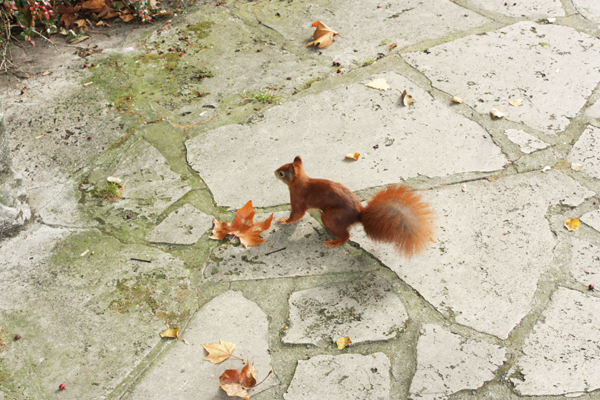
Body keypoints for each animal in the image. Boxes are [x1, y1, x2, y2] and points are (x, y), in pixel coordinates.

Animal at [274, 156, 434, 256]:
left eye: (282, 173)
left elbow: (296, 214)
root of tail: (358, 213)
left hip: (331, 216)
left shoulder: (298, 198)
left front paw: (284, 221)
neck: (300, 182)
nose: (274, 172)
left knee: (346, 235)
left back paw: (334, 242)